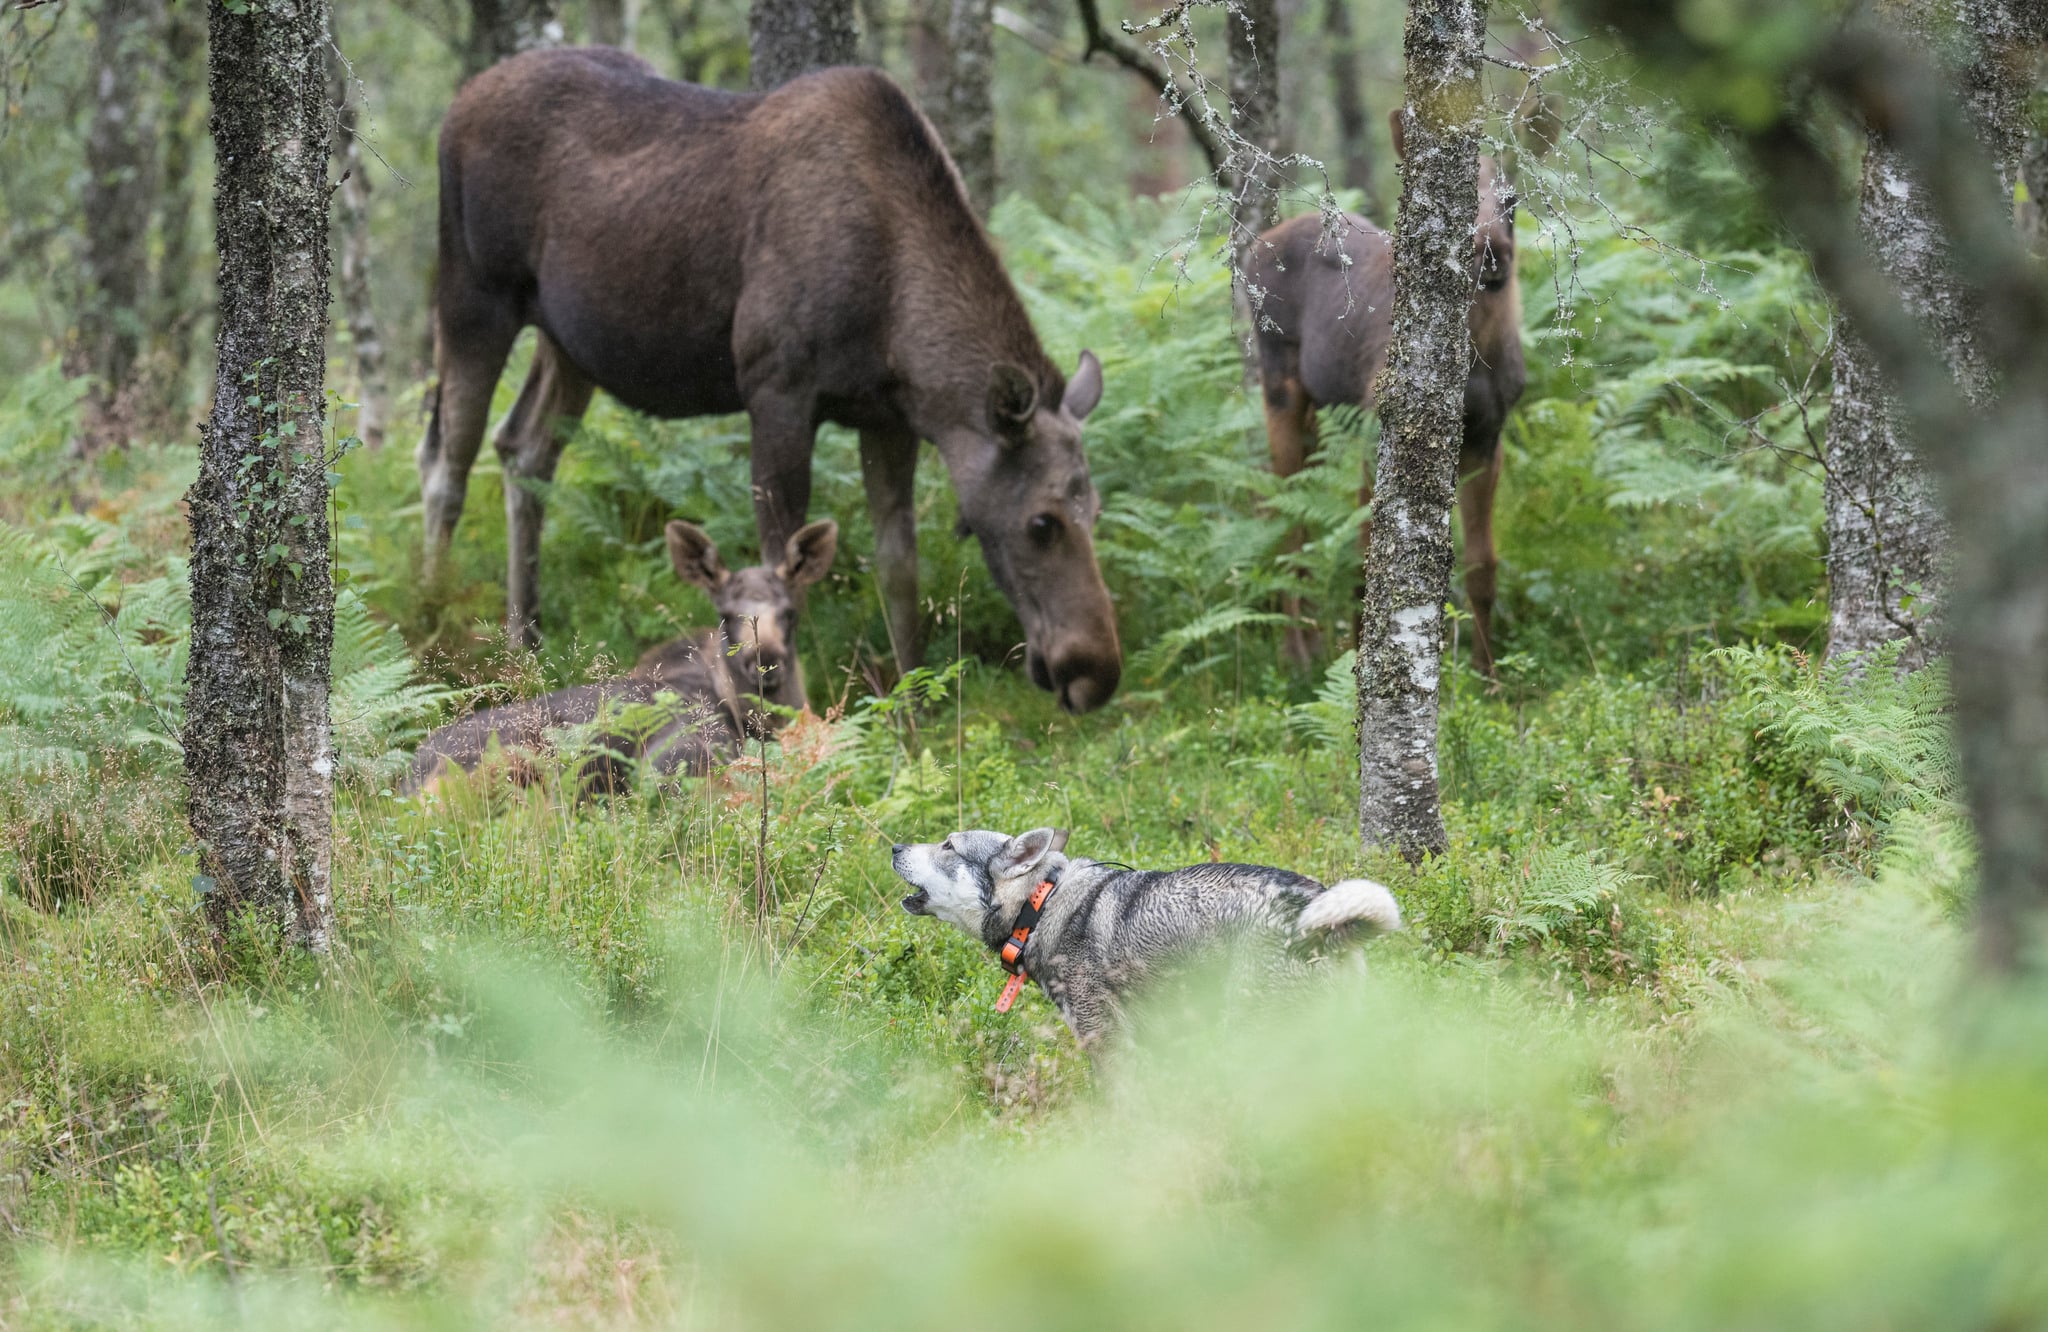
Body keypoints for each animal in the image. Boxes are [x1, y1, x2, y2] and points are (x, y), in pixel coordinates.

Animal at [417, 49, 1122, 717]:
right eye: (1041, 522)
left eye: (1095, 509)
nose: (1096, 673)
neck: (897, 325)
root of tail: (457, 103)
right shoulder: (778, 389)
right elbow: (779, 559)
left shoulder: (886, 417)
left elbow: (899, 568)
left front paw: (913, 709)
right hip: (473, 297)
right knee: (446, 460)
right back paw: (430, 636)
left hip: (568, 342)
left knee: (524, 448)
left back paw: (525, 644)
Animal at [1245, 109, 1523, 668]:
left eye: (1513, 199)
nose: (1493, 255)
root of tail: (1253, 247)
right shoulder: (1384, 423)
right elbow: (1370, 552)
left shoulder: (1490, 435)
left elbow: (1483, 567)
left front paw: (1489, 675)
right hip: (1280, 384)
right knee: (1287, 516)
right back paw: (1296, 654)